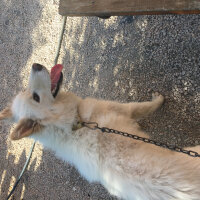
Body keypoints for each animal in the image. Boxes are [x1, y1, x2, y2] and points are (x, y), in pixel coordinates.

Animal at [0, 63, 200, 199]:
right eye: (36, 97)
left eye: (29, 93)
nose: (35, 65)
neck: (71, 126)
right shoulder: (126, 109)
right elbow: (146, 107)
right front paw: (159, 100)